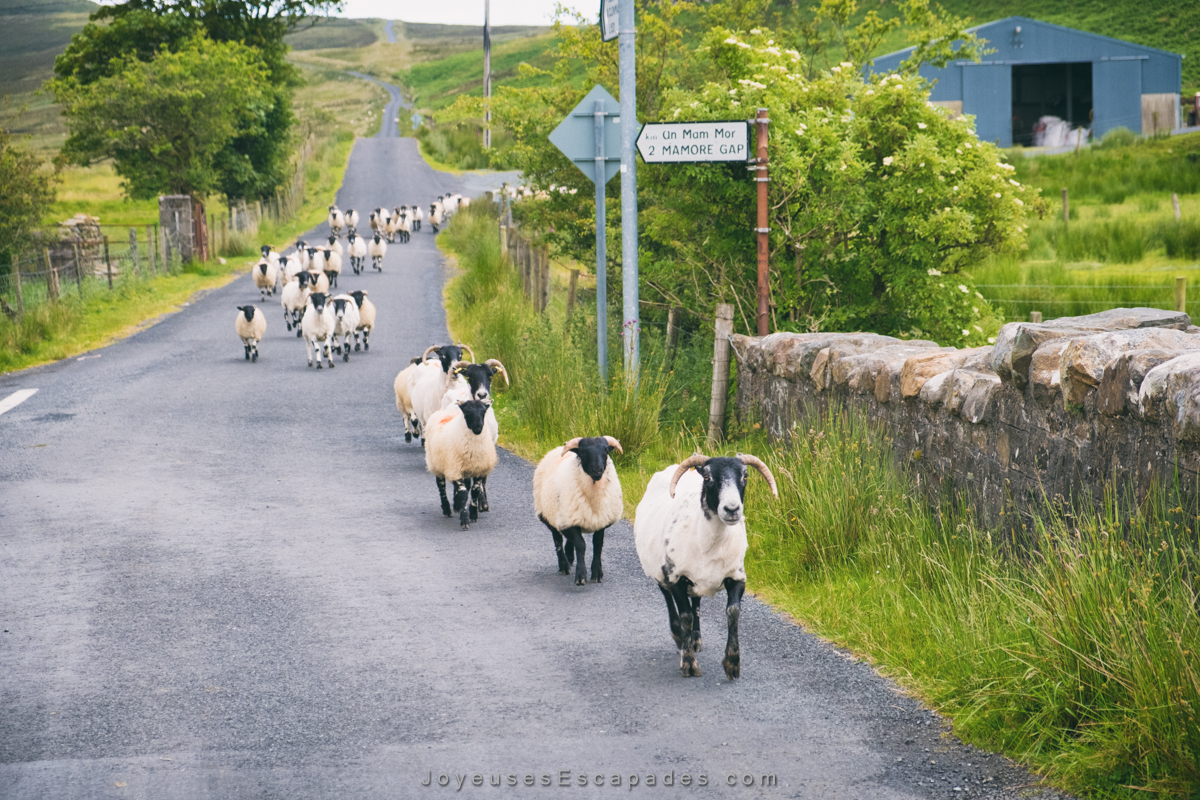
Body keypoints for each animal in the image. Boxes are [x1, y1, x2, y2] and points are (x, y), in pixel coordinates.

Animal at [537, 434, 628, 585]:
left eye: (606, 451)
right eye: (583, 453)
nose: (597, 470)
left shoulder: (600, 521)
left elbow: (597, 545)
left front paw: (597, 572)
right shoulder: (568, 522)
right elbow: (581, 545)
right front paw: (581, 575)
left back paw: (569, 556)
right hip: (551, 515)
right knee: (558, 540)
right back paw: (564, 565)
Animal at [638, 453, 777, 681]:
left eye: (745, 475)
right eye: (707, 477)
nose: (732, 509)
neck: (709, 546)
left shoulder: (737, 577)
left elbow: (733, 611)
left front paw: (732, 663)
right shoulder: (676, 576)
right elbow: (685, 615)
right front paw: (689, 663)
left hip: (696, 581)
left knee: (696, 601)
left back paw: (696, 638)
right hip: (659, 570)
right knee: (668, 597)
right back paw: (679, 636)